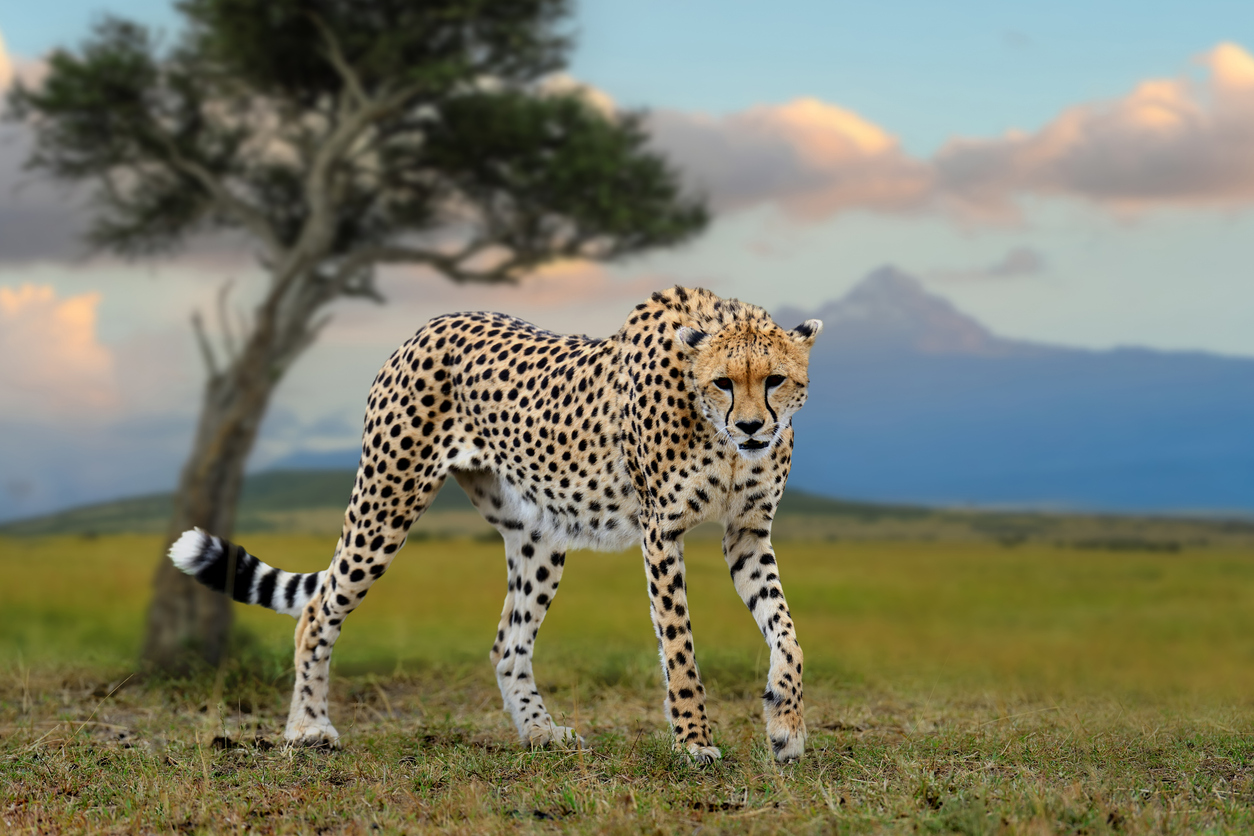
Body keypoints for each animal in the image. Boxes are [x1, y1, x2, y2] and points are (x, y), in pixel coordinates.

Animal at [170, 286, 823, 763]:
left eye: (775, 379)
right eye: (723, 382)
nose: (753, 428)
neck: (720, 437)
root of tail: (433, 322)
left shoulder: (748, 533)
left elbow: (788, 632)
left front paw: (786, 726)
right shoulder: (662, 533)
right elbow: (680, 647)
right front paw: (694, 741)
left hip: (538, 534)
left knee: (508, 640)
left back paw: (539, 732)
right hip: (386, 501)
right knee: (317, 609)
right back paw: (308, 727)